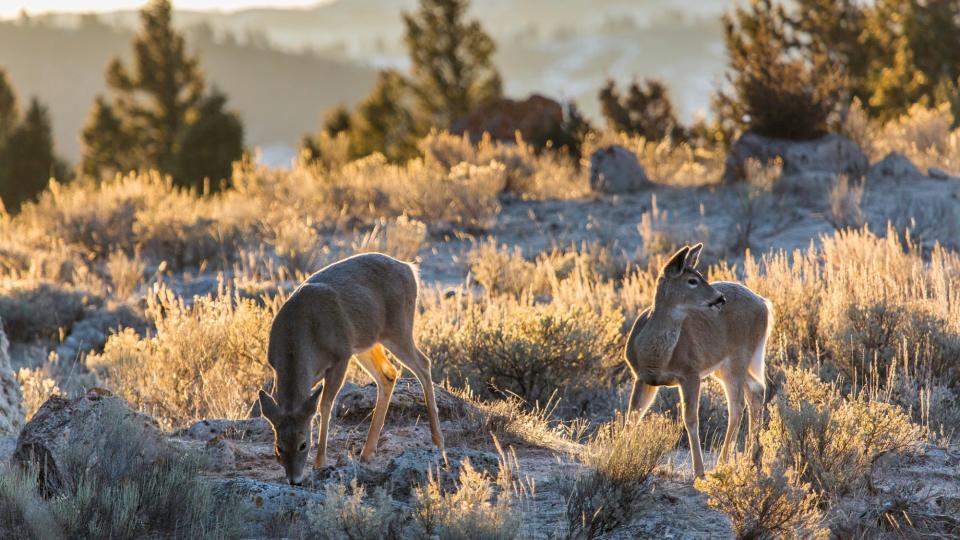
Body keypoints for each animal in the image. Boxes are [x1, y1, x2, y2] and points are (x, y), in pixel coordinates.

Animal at [258, 253, 446, 486]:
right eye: (279, 447)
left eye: (303, 444)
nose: (295, 480)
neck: (300, 332)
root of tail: (409, 269)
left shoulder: (340, 357)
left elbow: (325, 405)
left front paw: (320, 462)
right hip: (367, 342)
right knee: (388, 374)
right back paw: (367, 452)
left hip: (398, 329)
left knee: (423, 364)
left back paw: (438, 441)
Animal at [624, 244, 772, 476]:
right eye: (692, 280)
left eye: (701, 275)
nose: (720, 299)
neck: (655, 356)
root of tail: (764, 304)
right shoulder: (642, 377)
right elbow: (633, 416)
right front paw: (617, 453)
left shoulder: (690, 373)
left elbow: (691, 419)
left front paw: (699, 471)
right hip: (724, 365)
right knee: (756, 390)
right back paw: (753, 459)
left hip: (738, 356)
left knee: (737, 406)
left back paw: (723, 463)